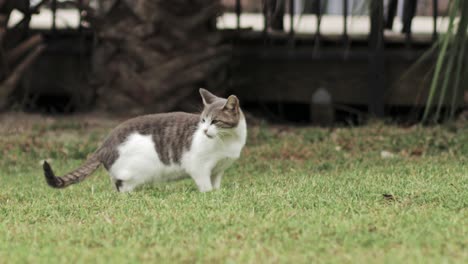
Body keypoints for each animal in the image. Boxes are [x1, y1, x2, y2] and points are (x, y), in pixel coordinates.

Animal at [43, 88, 249, 192]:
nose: (205, 130)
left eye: (214, 121)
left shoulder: (217, 171)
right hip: (136, 172)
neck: (229, 140)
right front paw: (208, 195)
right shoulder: (199, 167)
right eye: (203, 121)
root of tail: (104, 145)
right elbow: (205, 186)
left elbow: (216, 186)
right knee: (121, 185)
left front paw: (217, 194)